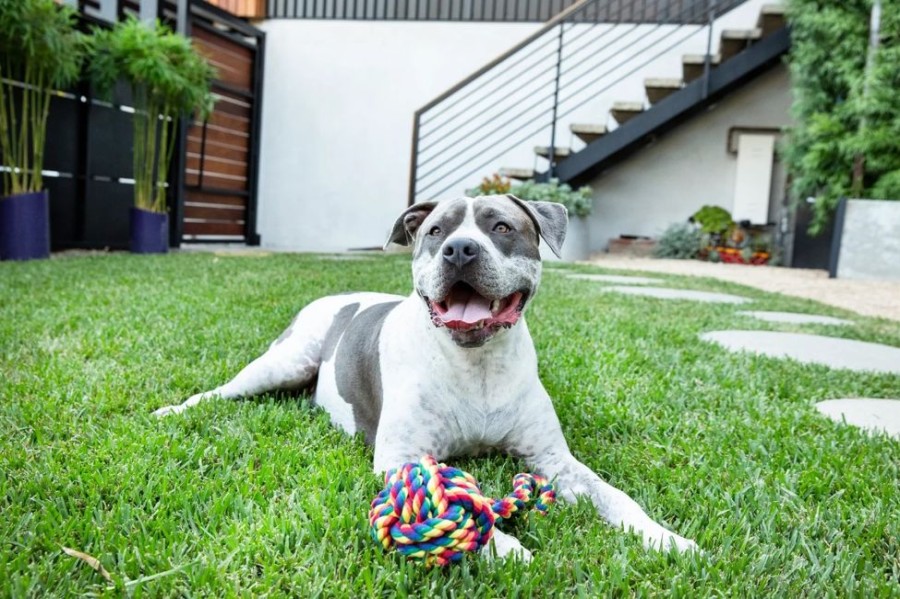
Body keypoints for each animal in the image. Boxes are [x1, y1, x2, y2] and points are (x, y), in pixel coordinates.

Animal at [156, 195, 696, 560]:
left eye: (502, 226)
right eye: (435, 231)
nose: (460, 249)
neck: (476, 364)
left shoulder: (553, 459)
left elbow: (615, 496)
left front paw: (664, 537)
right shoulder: (401, 459)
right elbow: (448, 512)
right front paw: (503, 547)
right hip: (283, 361)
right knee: (219, 393)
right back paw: (174, 410)